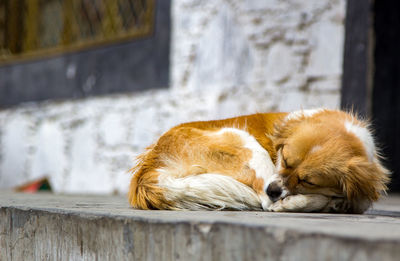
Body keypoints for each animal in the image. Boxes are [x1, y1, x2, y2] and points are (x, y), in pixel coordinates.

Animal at [129, 108, 390, 212]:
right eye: (284, 160)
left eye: (308, 181)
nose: (273, 190)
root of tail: (151, 164)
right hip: (246, 143)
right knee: (267, 205)